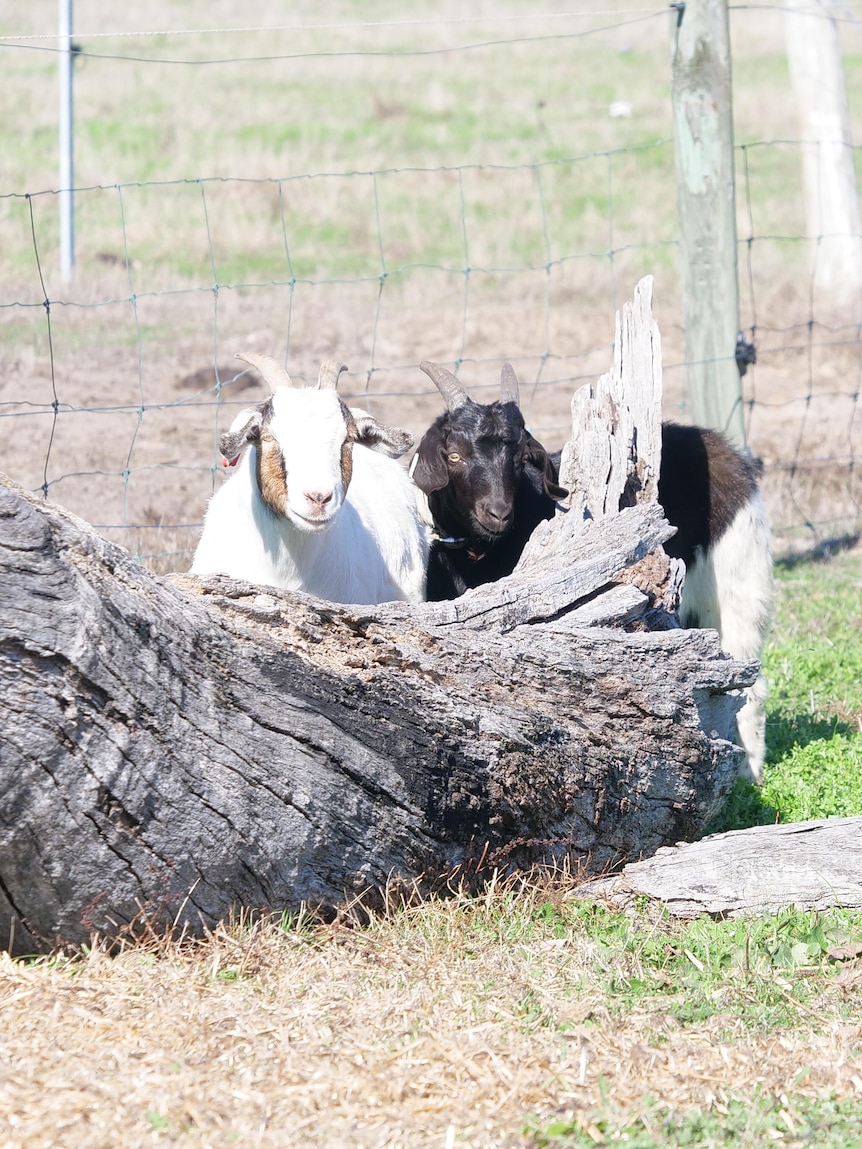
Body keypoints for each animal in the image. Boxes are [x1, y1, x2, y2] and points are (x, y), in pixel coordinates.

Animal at [412, 361, 773, 783]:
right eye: (454, 455)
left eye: (519, 458)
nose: (497, 513)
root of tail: (730, 454)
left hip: (737, 585)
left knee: (748, 685)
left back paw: (750, 774)